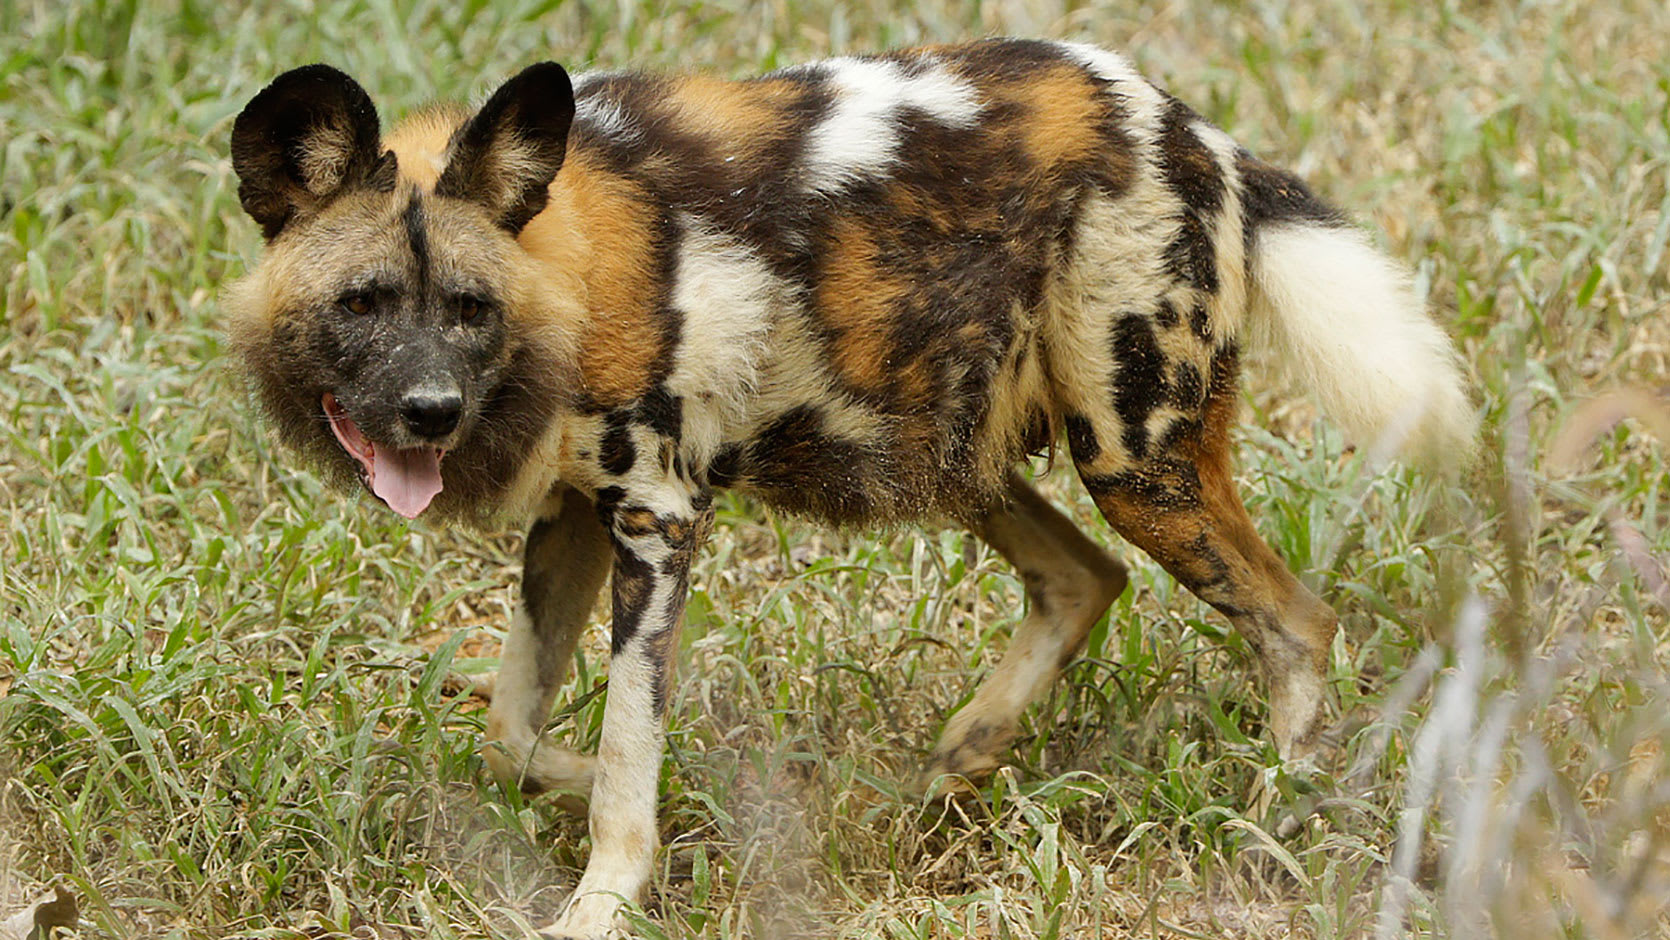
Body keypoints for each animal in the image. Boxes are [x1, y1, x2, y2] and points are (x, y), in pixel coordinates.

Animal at [225, 40, 1476, 934]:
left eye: (469, 309)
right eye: (361, 305)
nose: (428, 411)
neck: (565, 272)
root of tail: (1187, 126)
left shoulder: (656, 522)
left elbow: (628, 751)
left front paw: (604, 896)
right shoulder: (572, 518)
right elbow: (510, 735)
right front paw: (645, 802)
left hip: (1131, 459)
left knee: (1294, 620)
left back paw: (1276, 823)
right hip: (942, 446)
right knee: (1084, 578)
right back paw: (948, 767)